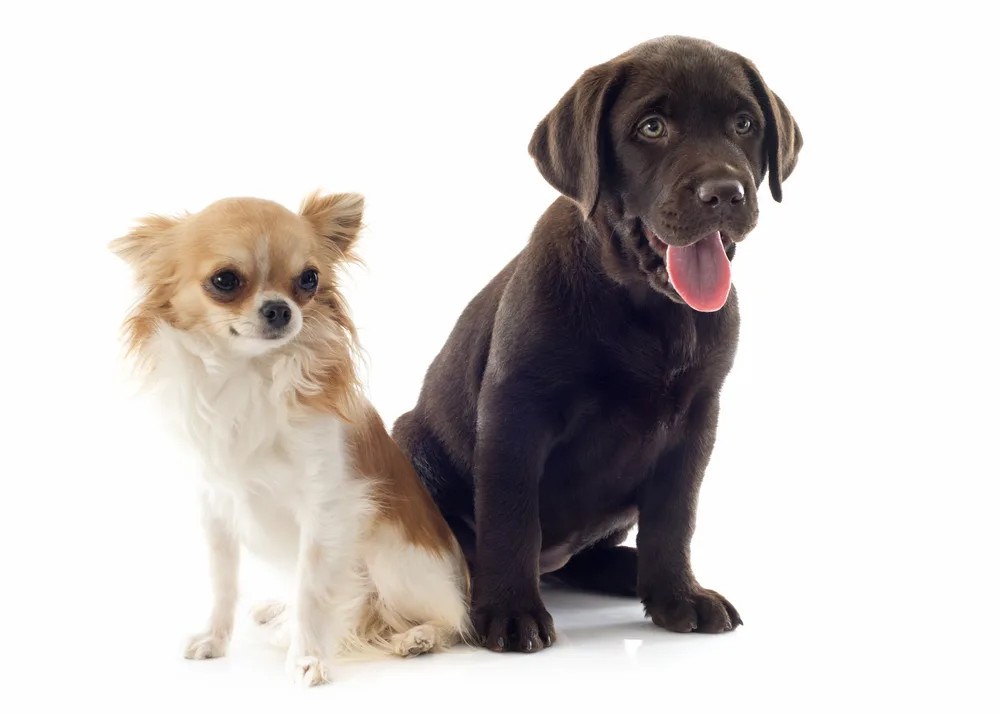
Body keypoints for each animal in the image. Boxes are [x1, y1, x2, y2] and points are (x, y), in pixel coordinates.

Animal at [111, 191, 470, 684]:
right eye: (224, 281)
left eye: (309, 279)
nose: (281, 308)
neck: (247, 374)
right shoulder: (216, 508)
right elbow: (222, 583)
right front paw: (214, 639)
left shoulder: (325, 509)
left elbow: (313, 591)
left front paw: (308, 658)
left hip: (391, 563)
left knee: (450, 617)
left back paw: (418, 637)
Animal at [394, 37, 800, 652]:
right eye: (652, 127)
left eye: (745, 124)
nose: (725, 193)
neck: (648, 307)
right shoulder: (516, 408)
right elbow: (511, 514)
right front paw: (509, 611)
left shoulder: (697, 417)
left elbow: (674, 515)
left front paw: (677, 595)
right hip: (411, 446)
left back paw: (629, 571)